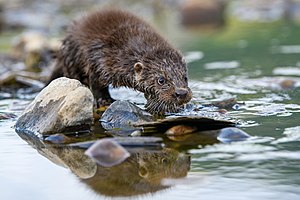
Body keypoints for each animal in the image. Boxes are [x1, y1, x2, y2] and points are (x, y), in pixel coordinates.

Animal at [48, 9, 192, 114]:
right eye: (161, 80)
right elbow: (96, 83)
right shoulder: (97, 60)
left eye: (185, 77)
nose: (181, 93)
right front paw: (104, 100)